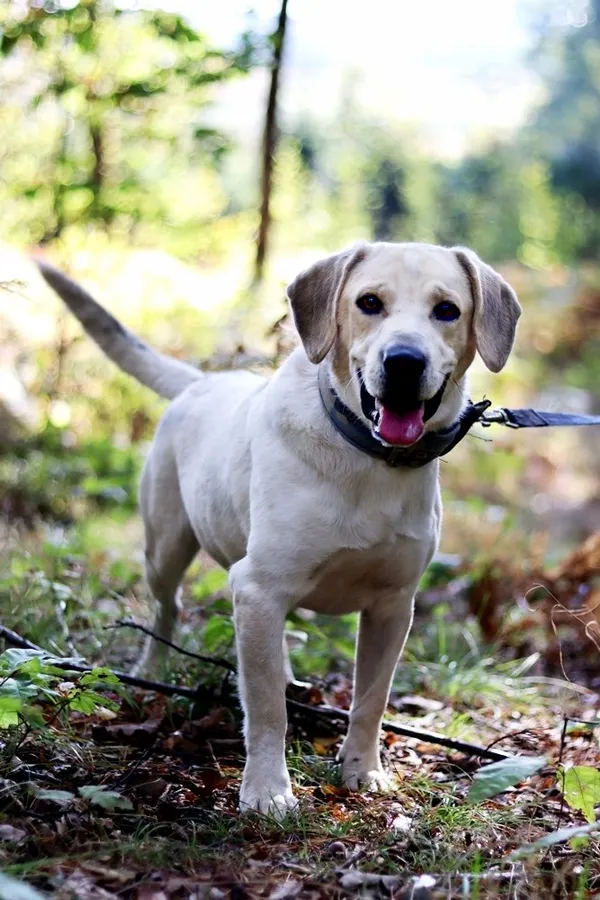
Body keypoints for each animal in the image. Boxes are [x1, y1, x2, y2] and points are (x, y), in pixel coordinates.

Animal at [39, 243, 520, 820]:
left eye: (447, 310)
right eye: (369, 302)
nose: (404, 362)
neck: (368, 459)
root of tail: (201, 382)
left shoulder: (391, 606)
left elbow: (371, 700)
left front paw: (363, 771)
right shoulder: (258, 587)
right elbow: (267, 709)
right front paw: (267, 790)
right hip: (166, 548)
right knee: (166, 610)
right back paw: (153, 671)